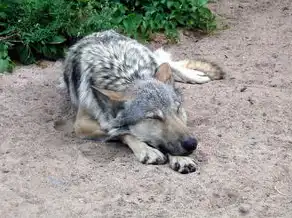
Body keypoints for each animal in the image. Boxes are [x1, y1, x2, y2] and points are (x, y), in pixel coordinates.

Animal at [61, 30, 224, 174]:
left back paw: (196, 75)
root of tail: (97, 33)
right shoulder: (81, 125)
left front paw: (180, 158)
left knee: (168, 63)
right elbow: (122, 131)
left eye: (177, 110)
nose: (192, 144)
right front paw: (147, 150)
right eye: (154, 117)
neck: (129, 75)